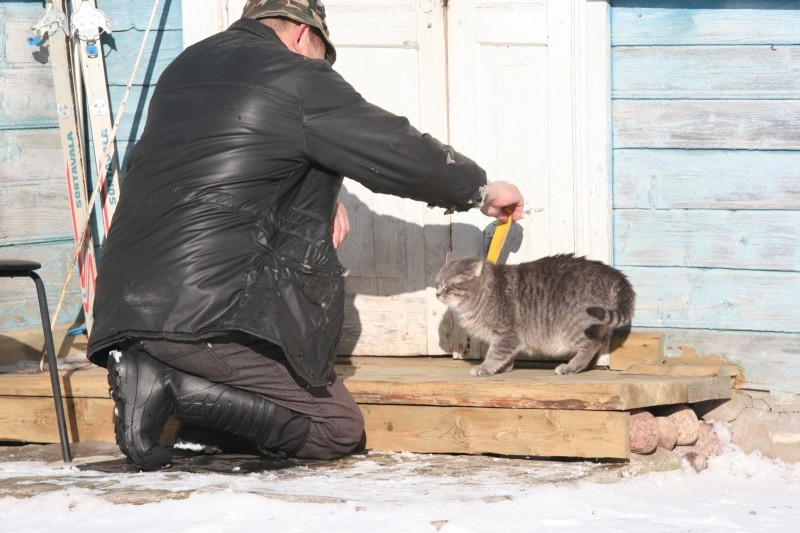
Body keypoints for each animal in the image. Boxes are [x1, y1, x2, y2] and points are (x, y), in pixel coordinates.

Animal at [434, 252, 636, 374]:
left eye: (448, 287)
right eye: (437, 283)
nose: (437, 294)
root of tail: (614, 275)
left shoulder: (507, 335)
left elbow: (495, 354)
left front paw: (485, 368)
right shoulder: (509, 338)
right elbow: (505, 355)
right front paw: (504, 368)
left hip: (574, 327)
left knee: (591, 345)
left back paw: (571, 366)